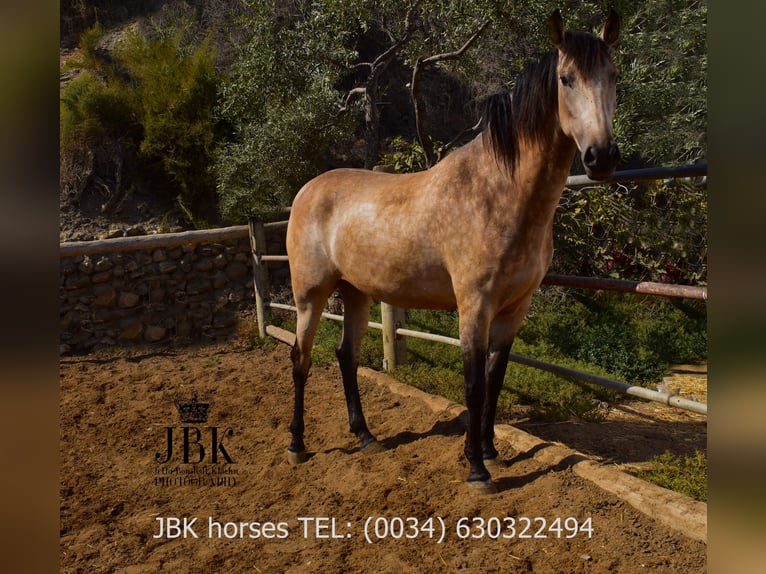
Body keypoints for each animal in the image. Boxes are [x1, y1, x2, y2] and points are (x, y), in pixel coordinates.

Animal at [285, 9, 621, 493]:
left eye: (614, 76)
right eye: (566, 78)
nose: (602, 157)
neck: (499, 193)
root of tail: (306, 192)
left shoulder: (514, 310)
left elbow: (495, 380)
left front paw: (491, 451)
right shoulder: (474, 307)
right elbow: (474, 386)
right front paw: (477, 470)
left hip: (356, 293)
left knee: (346, 356)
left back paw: (366, 436)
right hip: (310, 297)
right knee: (301, 359)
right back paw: (297, 445)